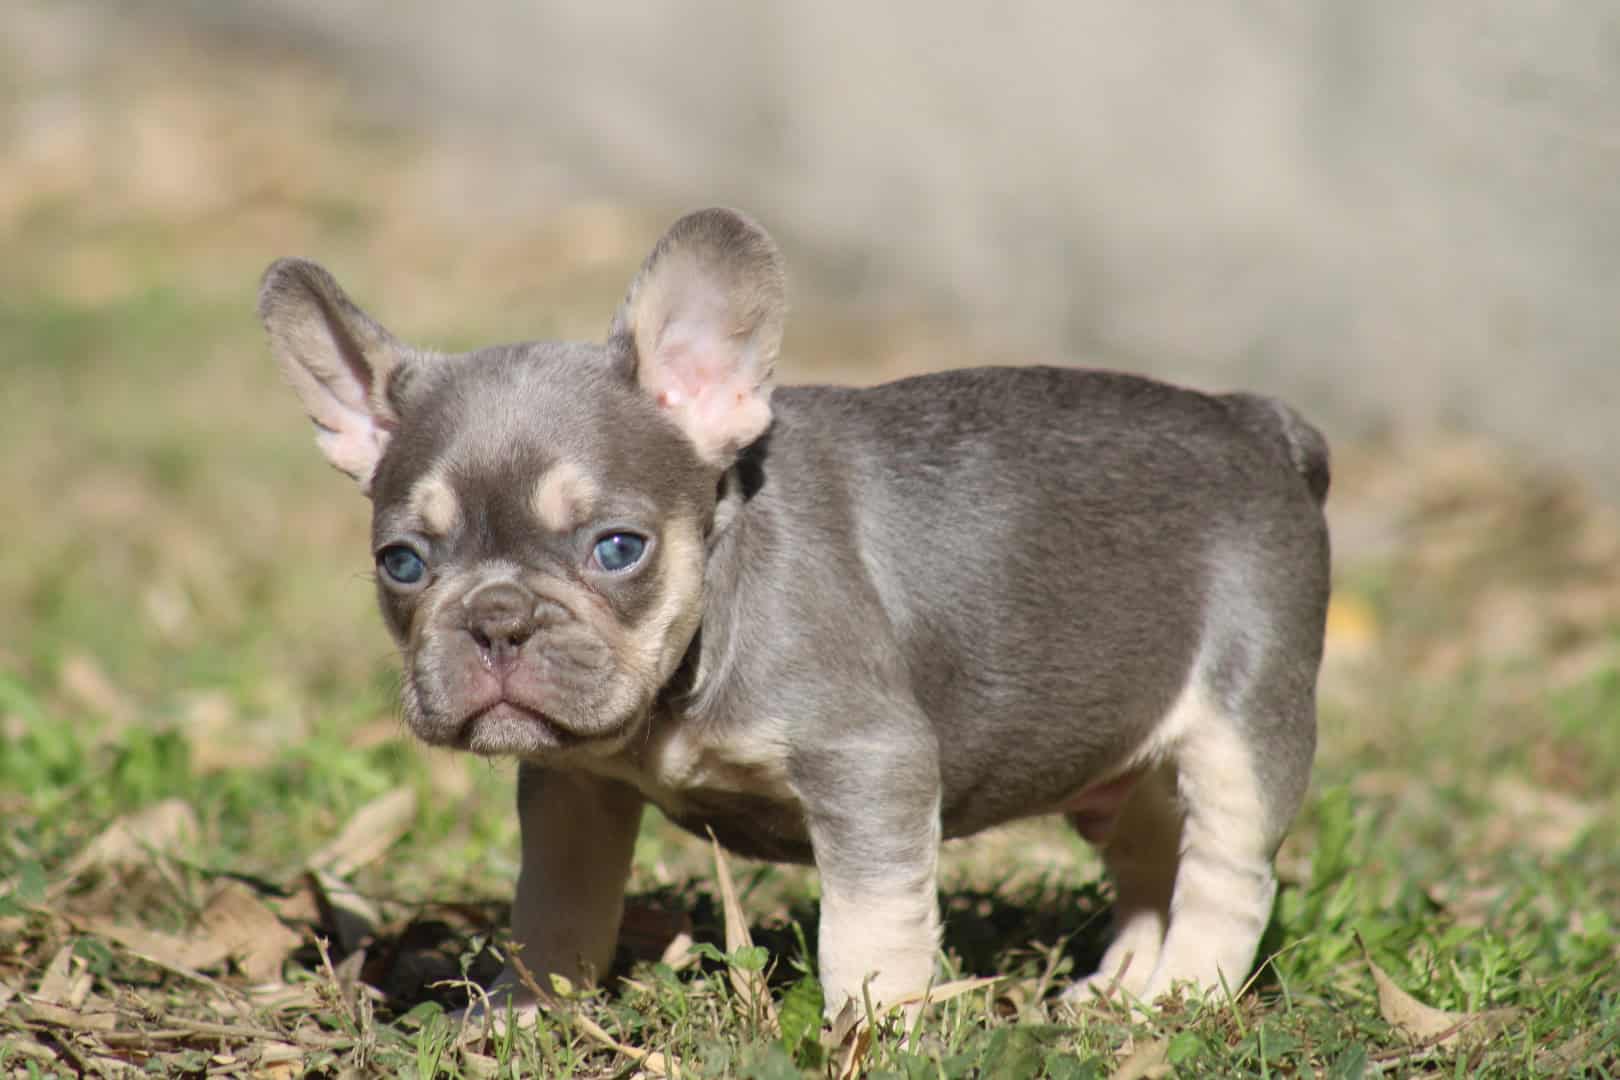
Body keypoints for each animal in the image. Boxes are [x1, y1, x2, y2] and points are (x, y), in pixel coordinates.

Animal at [259, 207, 1328, 1016]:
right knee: (1153, 857)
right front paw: (526, 1015)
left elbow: (868, 930)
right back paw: (1120, 988)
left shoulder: (870, 767)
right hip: (1126, 754)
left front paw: (873, 1033)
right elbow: (556, 908)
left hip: (1241, 722)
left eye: (618, 548)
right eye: (402, 563)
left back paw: (1177, 1001)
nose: (497, 619)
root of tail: (1260, 423)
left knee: (1227, 873)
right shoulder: (573, 790)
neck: (693, 648)